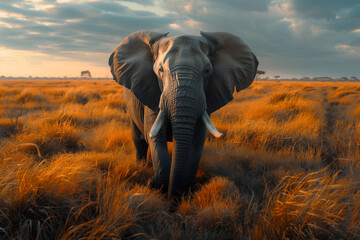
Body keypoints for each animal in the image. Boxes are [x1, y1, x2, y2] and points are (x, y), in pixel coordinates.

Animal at [108, 31, 258, 200]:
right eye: (160, 70)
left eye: (207, 71)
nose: (173, 199)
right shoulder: (152, 93)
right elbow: (155, 137)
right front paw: (158, 187)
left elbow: (197, 141)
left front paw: (186, 189)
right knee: (138, 137)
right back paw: (141, 165)